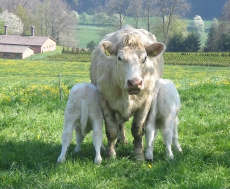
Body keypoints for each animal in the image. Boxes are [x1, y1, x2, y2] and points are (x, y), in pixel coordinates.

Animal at [90, 25, 165, 159]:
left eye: (144, 58)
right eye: (120, 58)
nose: (134, 82)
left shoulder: (146, 102)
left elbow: (138, 129)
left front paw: (139, 154)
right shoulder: (104, 101)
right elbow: (111, 130)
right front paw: (111, 154)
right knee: (120, 123)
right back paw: (121, 140)